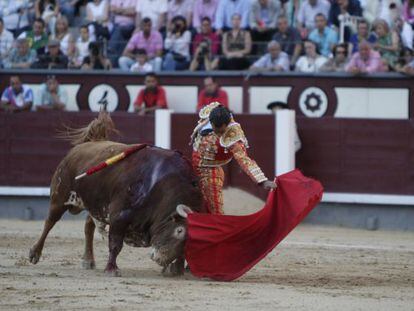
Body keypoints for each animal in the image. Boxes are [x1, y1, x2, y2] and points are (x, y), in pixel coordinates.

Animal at [28, 112, 204, 278]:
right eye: (179, 231)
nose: (161, 259)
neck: (162, 185)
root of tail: (87, 144)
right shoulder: (119, 215)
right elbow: (115, 244)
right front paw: (112, 269)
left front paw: (177, 270)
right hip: (60, 196)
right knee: (50, 222)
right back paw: (34, 254)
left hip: (95, 204)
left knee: (88, 227)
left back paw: (88, 260)